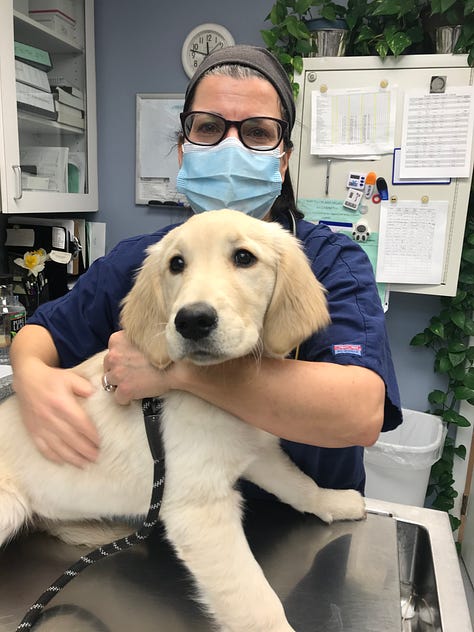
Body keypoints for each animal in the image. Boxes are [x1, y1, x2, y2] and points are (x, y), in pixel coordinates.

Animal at [0, 209, 366, 632]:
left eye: (244, 258)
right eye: (176, 264)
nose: (192, 320)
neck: (221, 386)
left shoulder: (259, 450)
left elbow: (299, 485)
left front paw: (333, 501)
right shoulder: (200, 510)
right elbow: (253, 599)